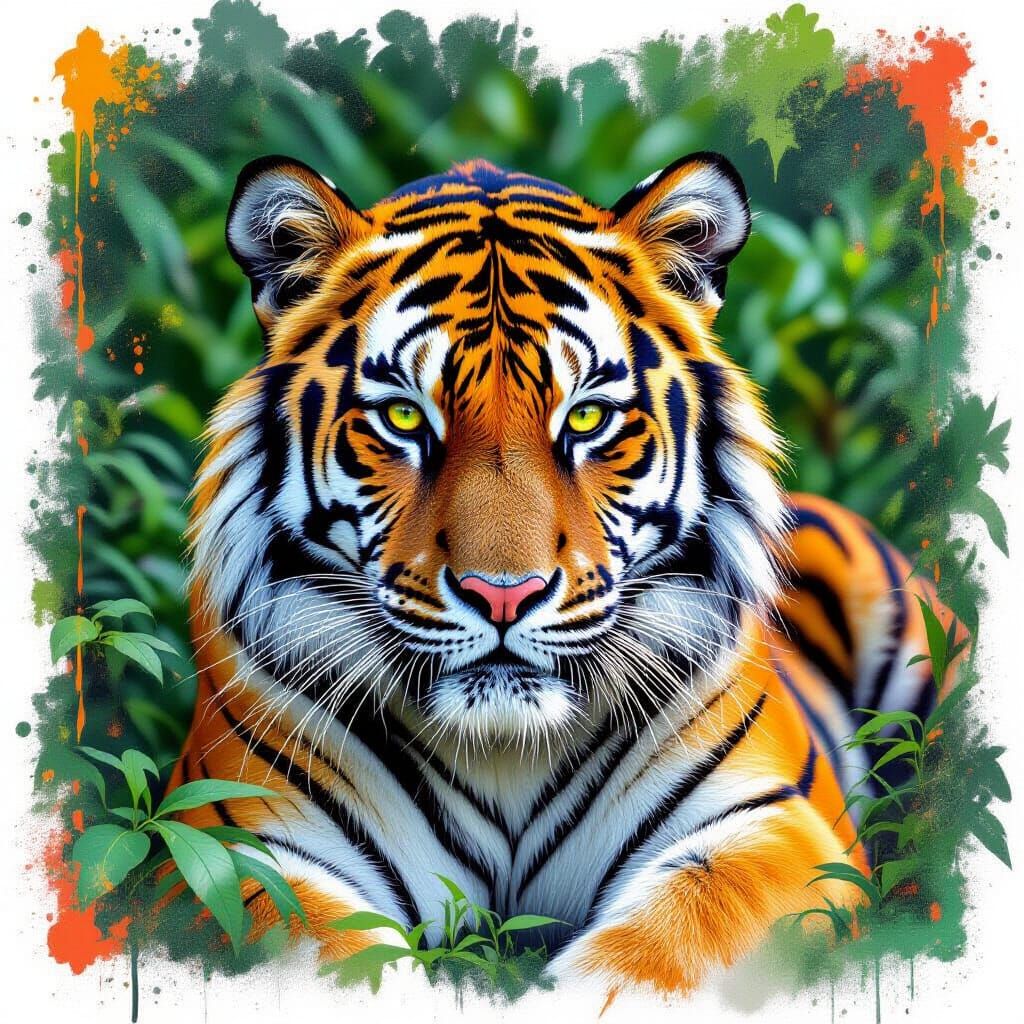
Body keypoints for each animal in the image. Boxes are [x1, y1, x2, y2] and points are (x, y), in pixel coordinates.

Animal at [168, 152, 966, 995]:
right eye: (405, 418)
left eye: (586, 419)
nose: (502, 595)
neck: (504, 755)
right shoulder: (227, 840)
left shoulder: (771, 828)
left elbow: (661, 951)